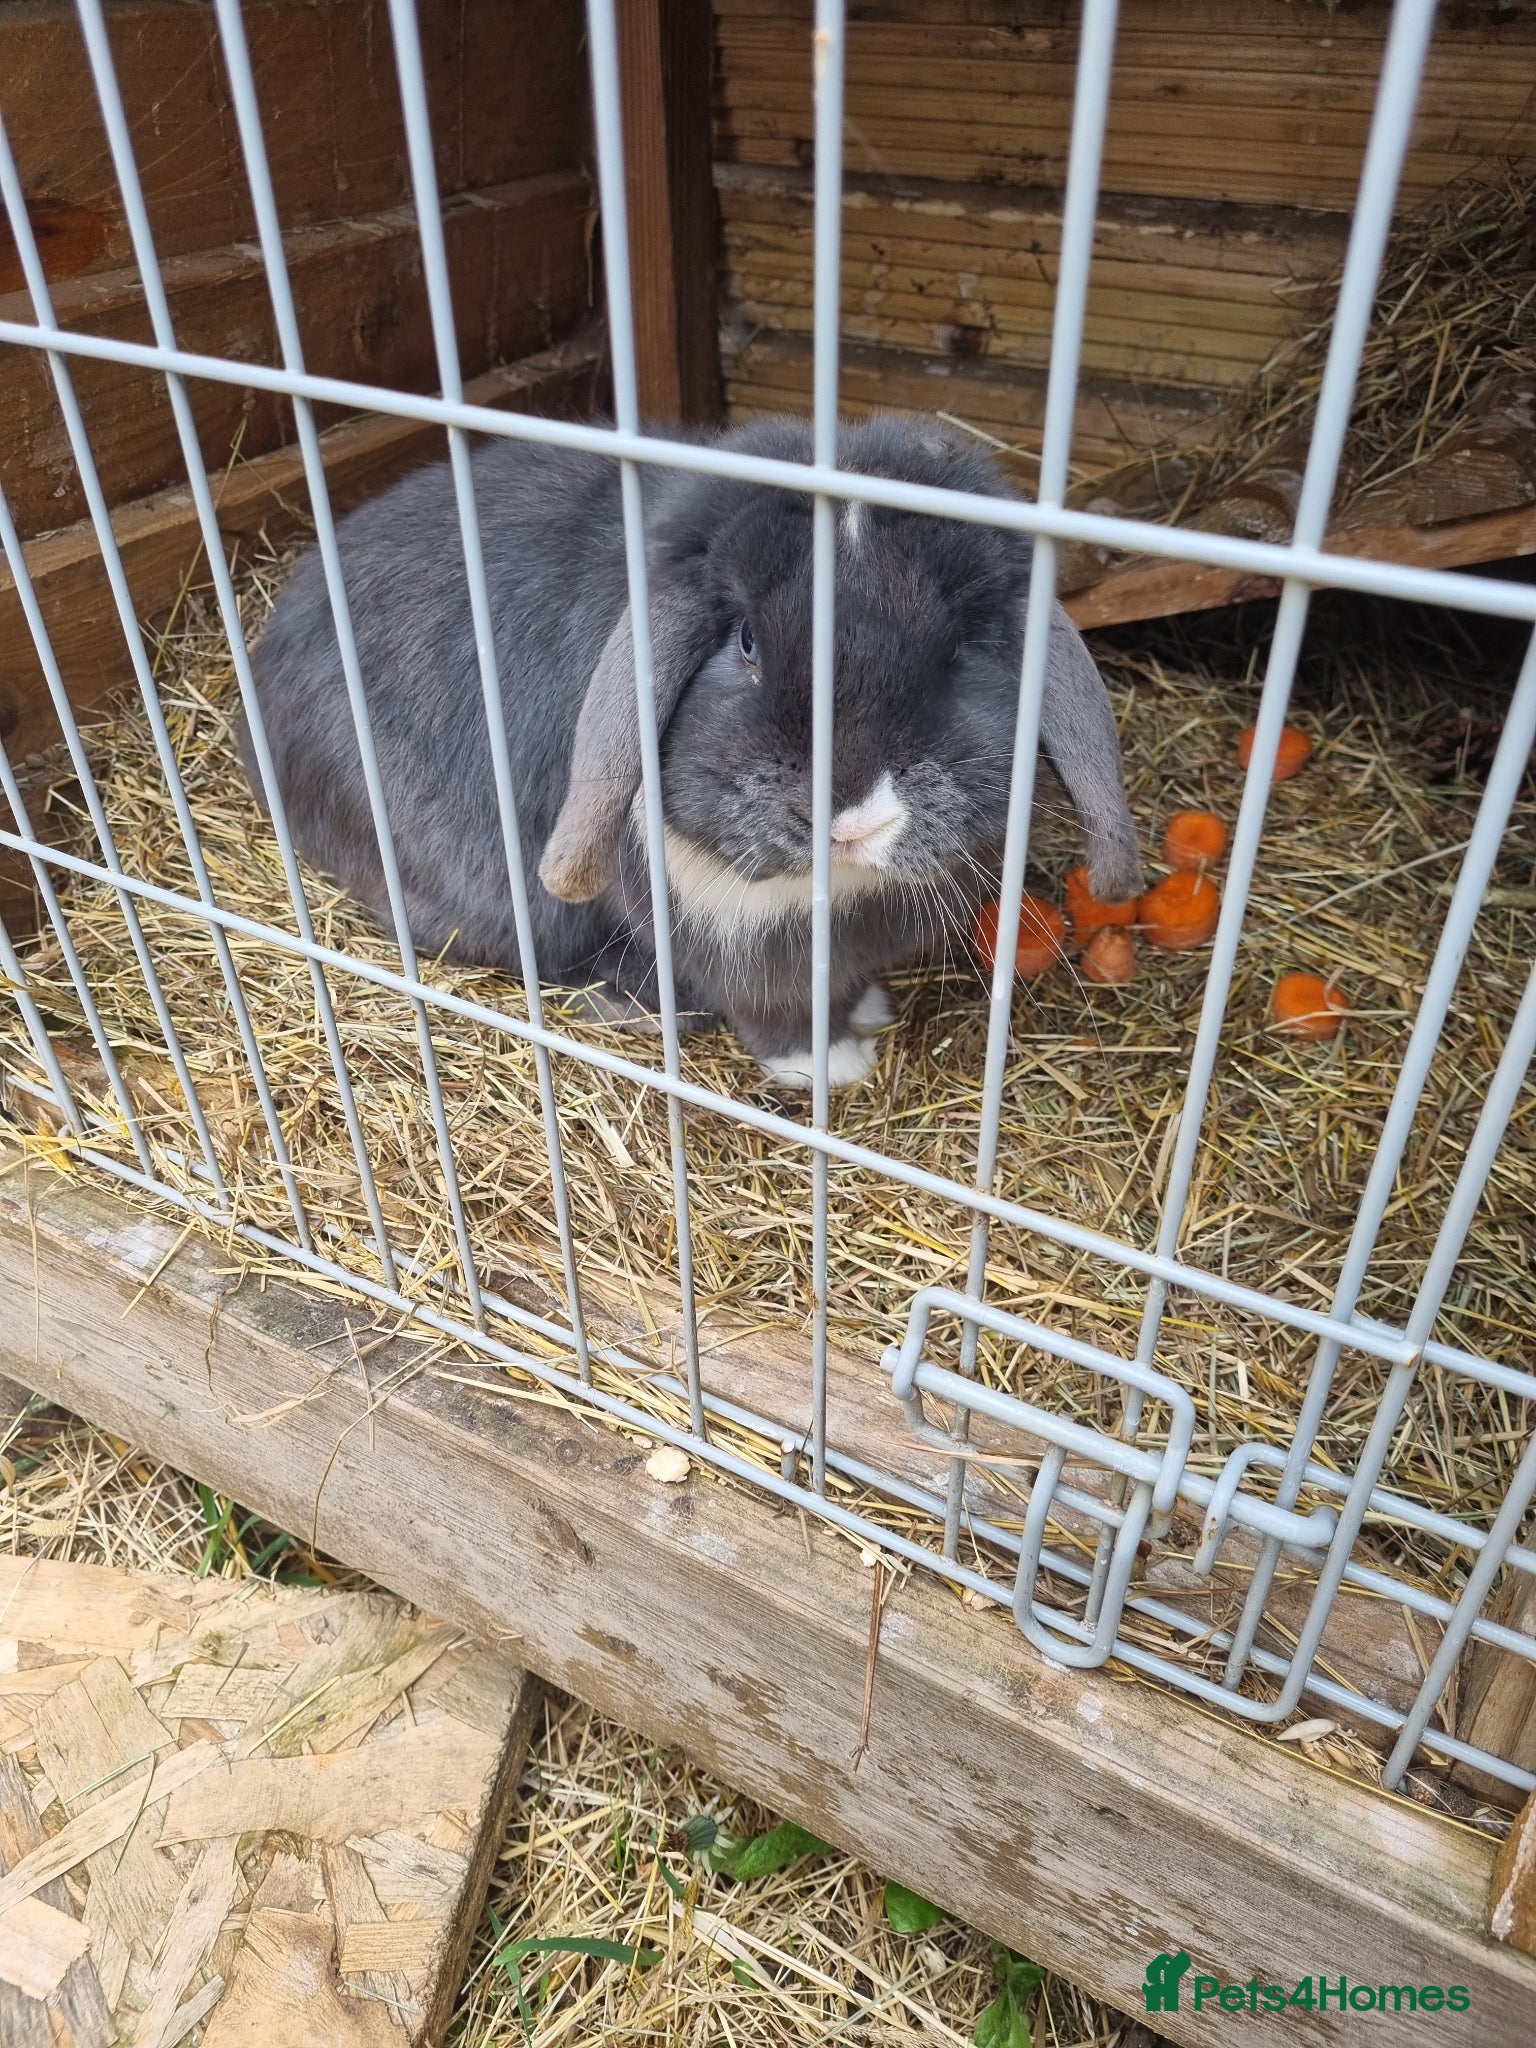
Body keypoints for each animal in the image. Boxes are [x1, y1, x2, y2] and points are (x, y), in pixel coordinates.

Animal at [241, 414, 1143, 1089]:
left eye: (959, 651)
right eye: (745, 642)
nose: (851, 815)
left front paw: (866, 1013)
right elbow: (772, 1012)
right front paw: (829, 1065)